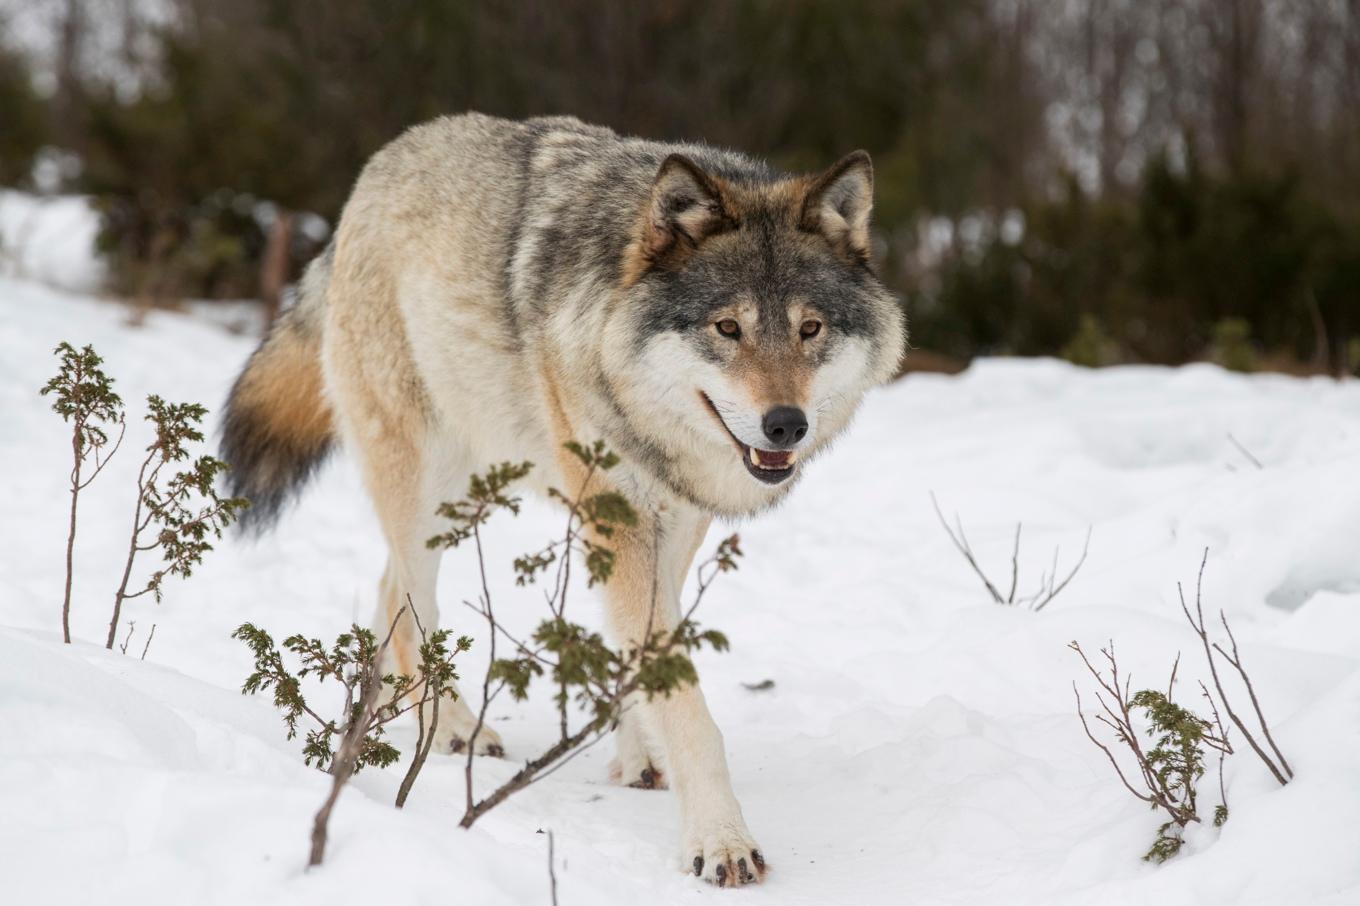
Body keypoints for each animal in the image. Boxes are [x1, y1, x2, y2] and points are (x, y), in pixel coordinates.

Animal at [220, 110, 903, 881]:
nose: (786, 424)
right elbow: (685, 702)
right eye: (728, 328)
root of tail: (380, 167)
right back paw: (449, 728)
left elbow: (646, 657)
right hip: (428, 486)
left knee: (387, 588)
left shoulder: (674, 521)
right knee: (412, 600)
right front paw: (722, 841)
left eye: (810, 329)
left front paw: (641, 759)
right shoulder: (621, 518)